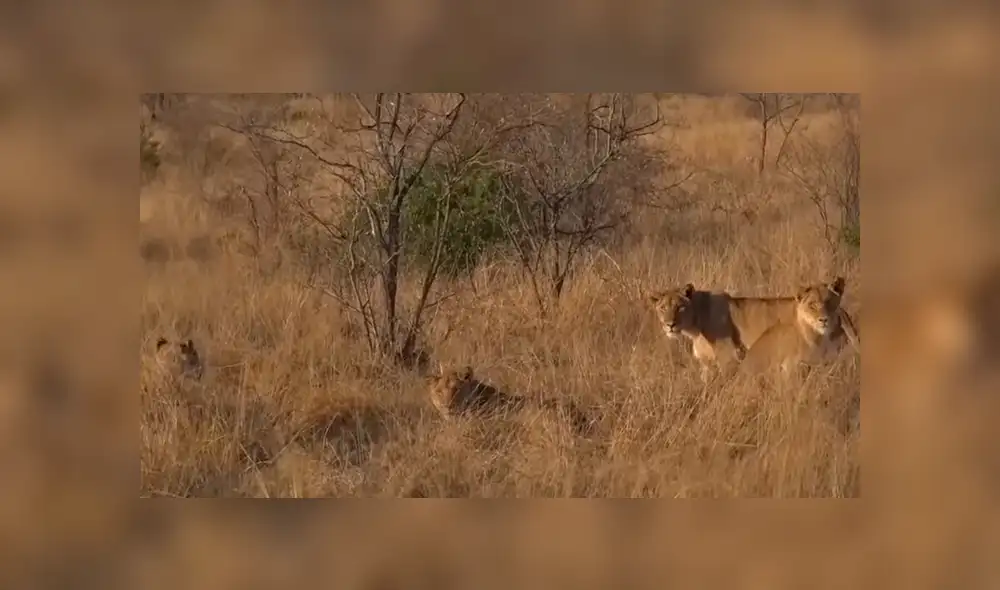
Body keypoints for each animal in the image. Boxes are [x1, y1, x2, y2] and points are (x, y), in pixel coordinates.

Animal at [648, 278, 859, 382]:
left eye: (680, 307)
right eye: (662, 308)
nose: (669, 324)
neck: (695, 326)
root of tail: (843, 310)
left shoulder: (729, 359)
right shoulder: (706, 365)